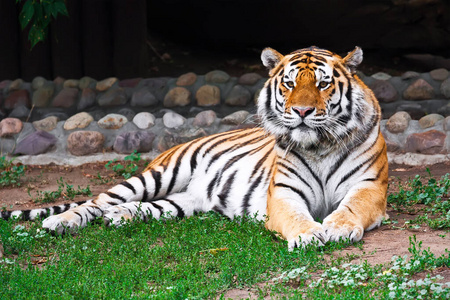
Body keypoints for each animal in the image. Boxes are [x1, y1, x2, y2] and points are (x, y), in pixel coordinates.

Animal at [0, 45, 388, 250]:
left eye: (323, 85)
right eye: (290, 84)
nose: (302, 112)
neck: (318, 146)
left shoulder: (367, 186)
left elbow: (350, 208)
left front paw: (338, 227)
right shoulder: (284, 193)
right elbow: (296, 216)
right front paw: (309, 234)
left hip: (183, 200)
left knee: (139, 207)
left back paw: (121, 217)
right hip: (159, 175)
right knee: (96, 202)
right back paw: (61, 222)